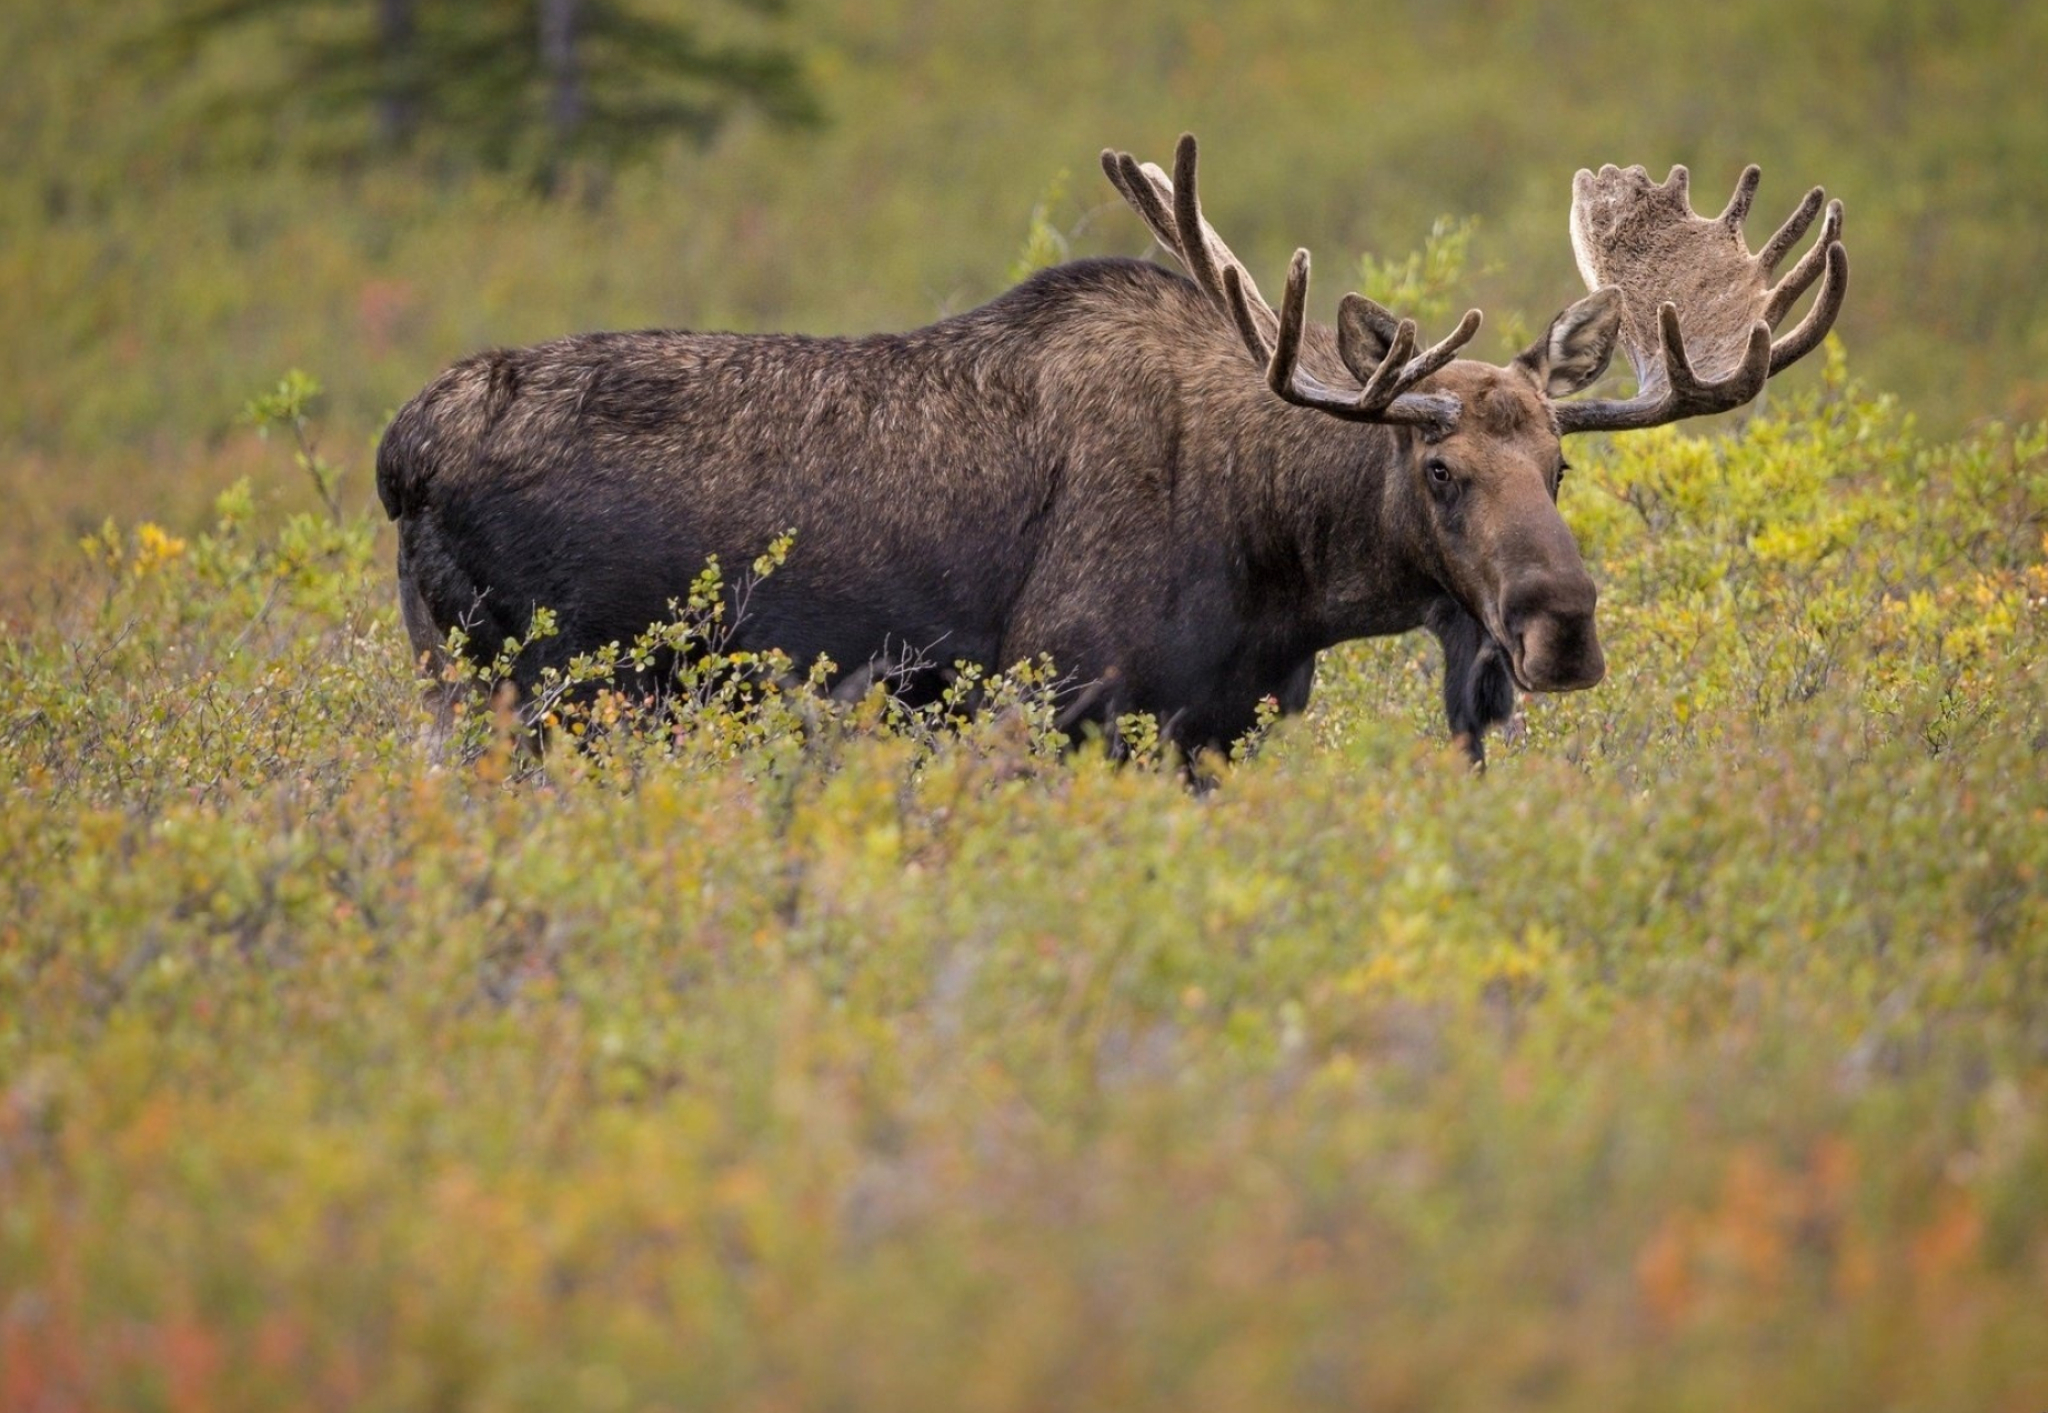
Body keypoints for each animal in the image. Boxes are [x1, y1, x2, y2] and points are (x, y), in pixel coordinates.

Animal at [376, 135, 1851, 757]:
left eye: (1560, 466)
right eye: (1439, 472)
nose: (1562, 628)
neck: (1283, 578)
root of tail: (403, 450)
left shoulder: (1214, 728)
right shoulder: (1063, 699)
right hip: (540, 686)